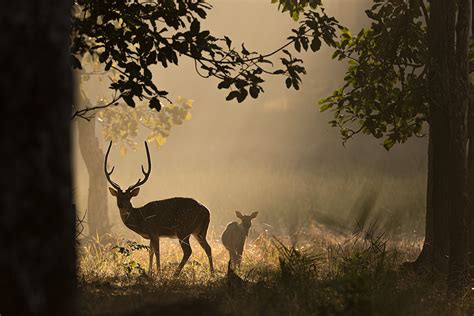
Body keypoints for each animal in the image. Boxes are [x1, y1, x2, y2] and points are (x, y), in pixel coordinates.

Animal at [105, 141, 215, 276]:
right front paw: (149, 272)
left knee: (188, 250)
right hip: (199, 231)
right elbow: (150, 253)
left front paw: (158, 273)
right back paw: (212, 273)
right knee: (208, 248)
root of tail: (206, 211)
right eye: (118, 197)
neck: (140, 219)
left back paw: (175, 274)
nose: (120, 205)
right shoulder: (150, 235)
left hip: (183, 229)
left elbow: (157, 253)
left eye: (128, 197)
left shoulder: (154, 231)